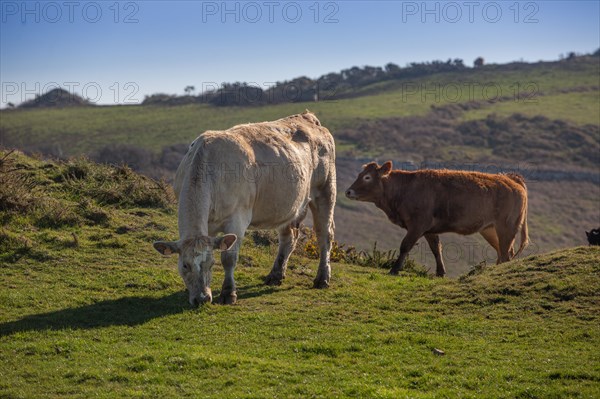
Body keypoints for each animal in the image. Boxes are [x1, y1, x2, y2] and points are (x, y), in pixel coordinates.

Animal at [152, 112, 336, 306]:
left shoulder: (238, 219)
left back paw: (322, 278)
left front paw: (228, 293)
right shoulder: (208, 226)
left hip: (325, 190)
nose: (202, 299)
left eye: (211, 263)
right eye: (185, 265)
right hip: (289, 205)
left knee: (325, 234)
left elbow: (228, 258)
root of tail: (307, 117)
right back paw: (275, 275)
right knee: (289, 237)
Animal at [344, 161, 528, 276]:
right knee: (503, 253)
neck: (404, 189)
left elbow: (405, 246)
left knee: (506, 254)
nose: (348, 191)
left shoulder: (417, 225)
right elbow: (436, 249)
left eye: (367, 177)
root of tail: (510, 178)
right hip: (489, 229)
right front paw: (440, 272)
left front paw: (395, 269)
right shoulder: (429, 229)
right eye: (360, 174)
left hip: (507, 227)